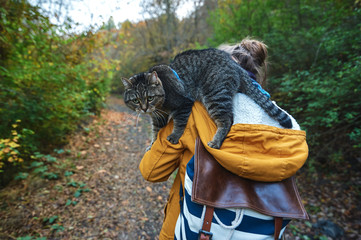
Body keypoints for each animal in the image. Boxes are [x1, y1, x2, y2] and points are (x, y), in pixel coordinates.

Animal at [122, 48, 292, 149]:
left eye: (150, 97)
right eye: (136, 100)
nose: (144, 108)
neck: (160, 105)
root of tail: (236, 66)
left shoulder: (184, 103)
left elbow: (180, 123)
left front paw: (174, 136)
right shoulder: (158, 117)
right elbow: (156, 131)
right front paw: (152, 144)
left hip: (215, 96)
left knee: (227, 120)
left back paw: (216, 142)